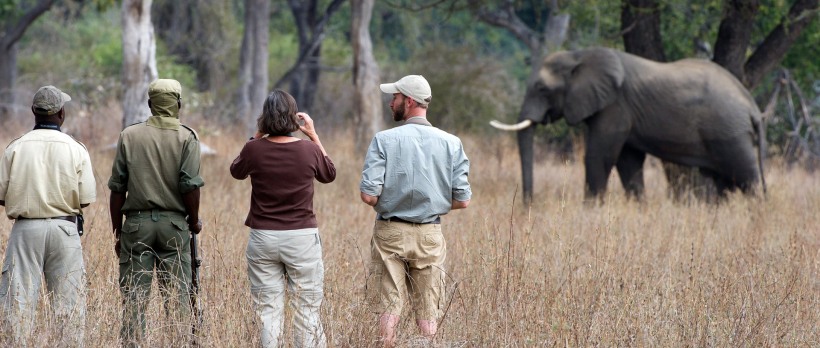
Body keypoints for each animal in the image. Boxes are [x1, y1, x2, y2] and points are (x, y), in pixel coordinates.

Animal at [494, 47, 768, 203]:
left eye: (542, 88)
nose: (528, 204)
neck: (578, 55)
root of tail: (752, 106)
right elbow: (628, 162)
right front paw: (639, 208)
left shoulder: (615, 105)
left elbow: (600, 156)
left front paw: (590, 210)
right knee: (724, 182)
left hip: (730, 132)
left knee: (747, 177)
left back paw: (758, 215)